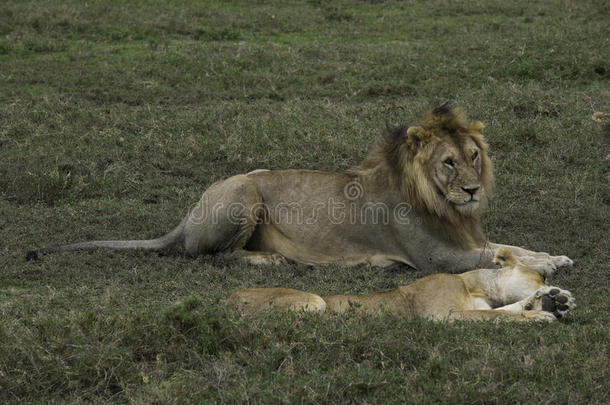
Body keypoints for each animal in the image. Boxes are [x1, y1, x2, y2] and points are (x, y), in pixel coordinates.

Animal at [27, 103, 568, 274]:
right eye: (448, 162)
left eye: (474, 156)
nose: (473, 191)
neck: (447, 206)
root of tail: (190, 210)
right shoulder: (436, 259)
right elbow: (497, 256)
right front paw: (543, 266)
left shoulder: (468, 237)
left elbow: (510, 246)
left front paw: (553, 257)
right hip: (244, 194)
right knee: (206, 255)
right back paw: (269, 259)